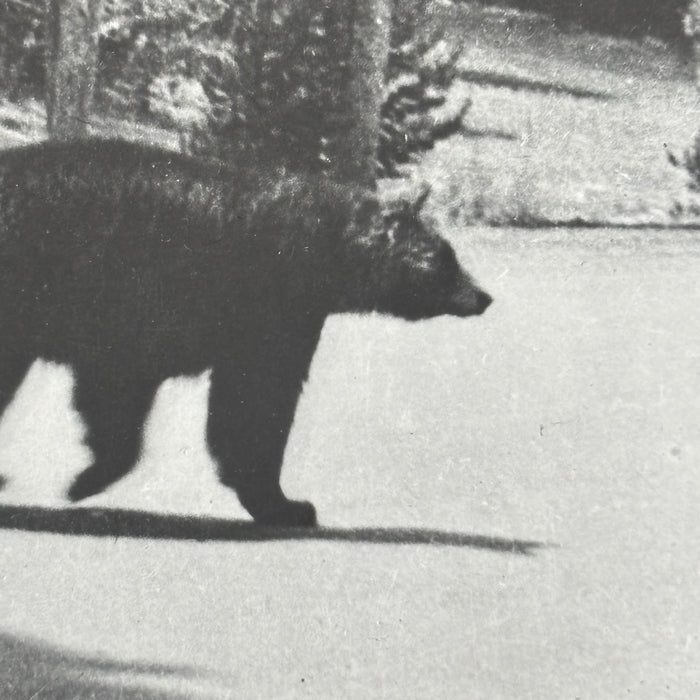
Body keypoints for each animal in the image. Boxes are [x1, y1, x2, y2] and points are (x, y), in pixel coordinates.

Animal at [0, 138, 492, 527]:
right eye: (446, 259)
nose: (484, 296)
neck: (321, 249)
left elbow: (225, 400)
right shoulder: (255, 307)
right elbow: (256, 399)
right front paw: (288, 505)